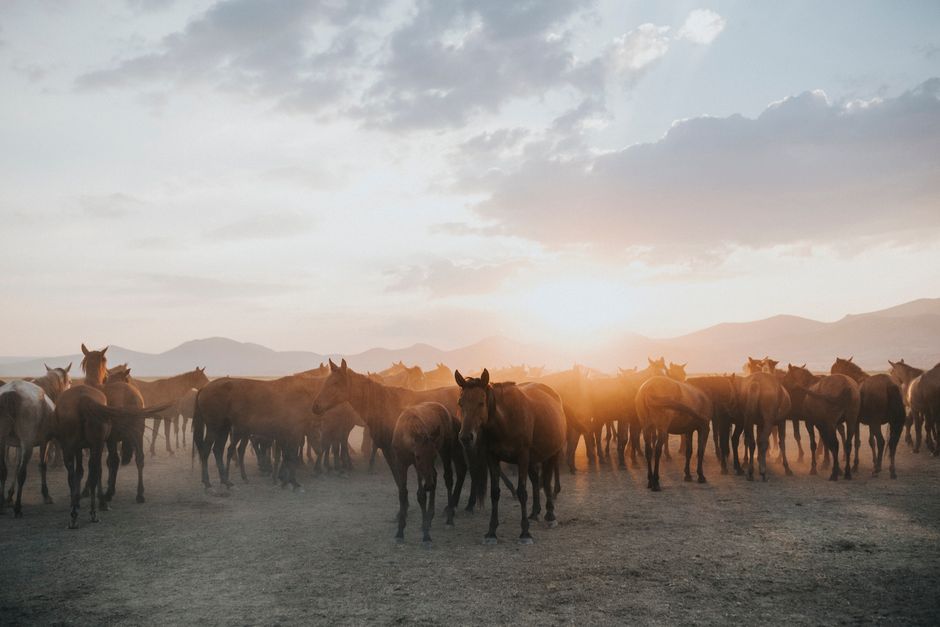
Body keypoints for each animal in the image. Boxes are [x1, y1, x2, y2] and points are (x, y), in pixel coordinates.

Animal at [390, 401, 466, 544]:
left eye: (434, 456)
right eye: (418, 456)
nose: (428, 485)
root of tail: (448, 413)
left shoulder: (418, 467)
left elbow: (421, 495)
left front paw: (426, 537)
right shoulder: (401, 464)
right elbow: (403, 494)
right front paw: (400, 532)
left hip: (446, 450)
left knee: (448, 478)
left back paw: (449, 520)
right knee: (435, 476)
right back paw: (429, 519)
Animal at [454, 369, 565, 544]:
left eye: (481, 402)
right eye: (461, 403)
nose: (465, 437)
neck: (506, 421)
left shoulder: (523, 457)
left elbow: (522, 492)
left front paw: (525, 532)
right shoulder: (492, 458)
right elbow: (494, 493)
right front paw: (491, 531)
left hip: (552, 453)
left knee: (547, 481)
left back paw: (550, 515)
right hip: (534, 459)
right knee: (536, 481)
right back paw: (535, 512)